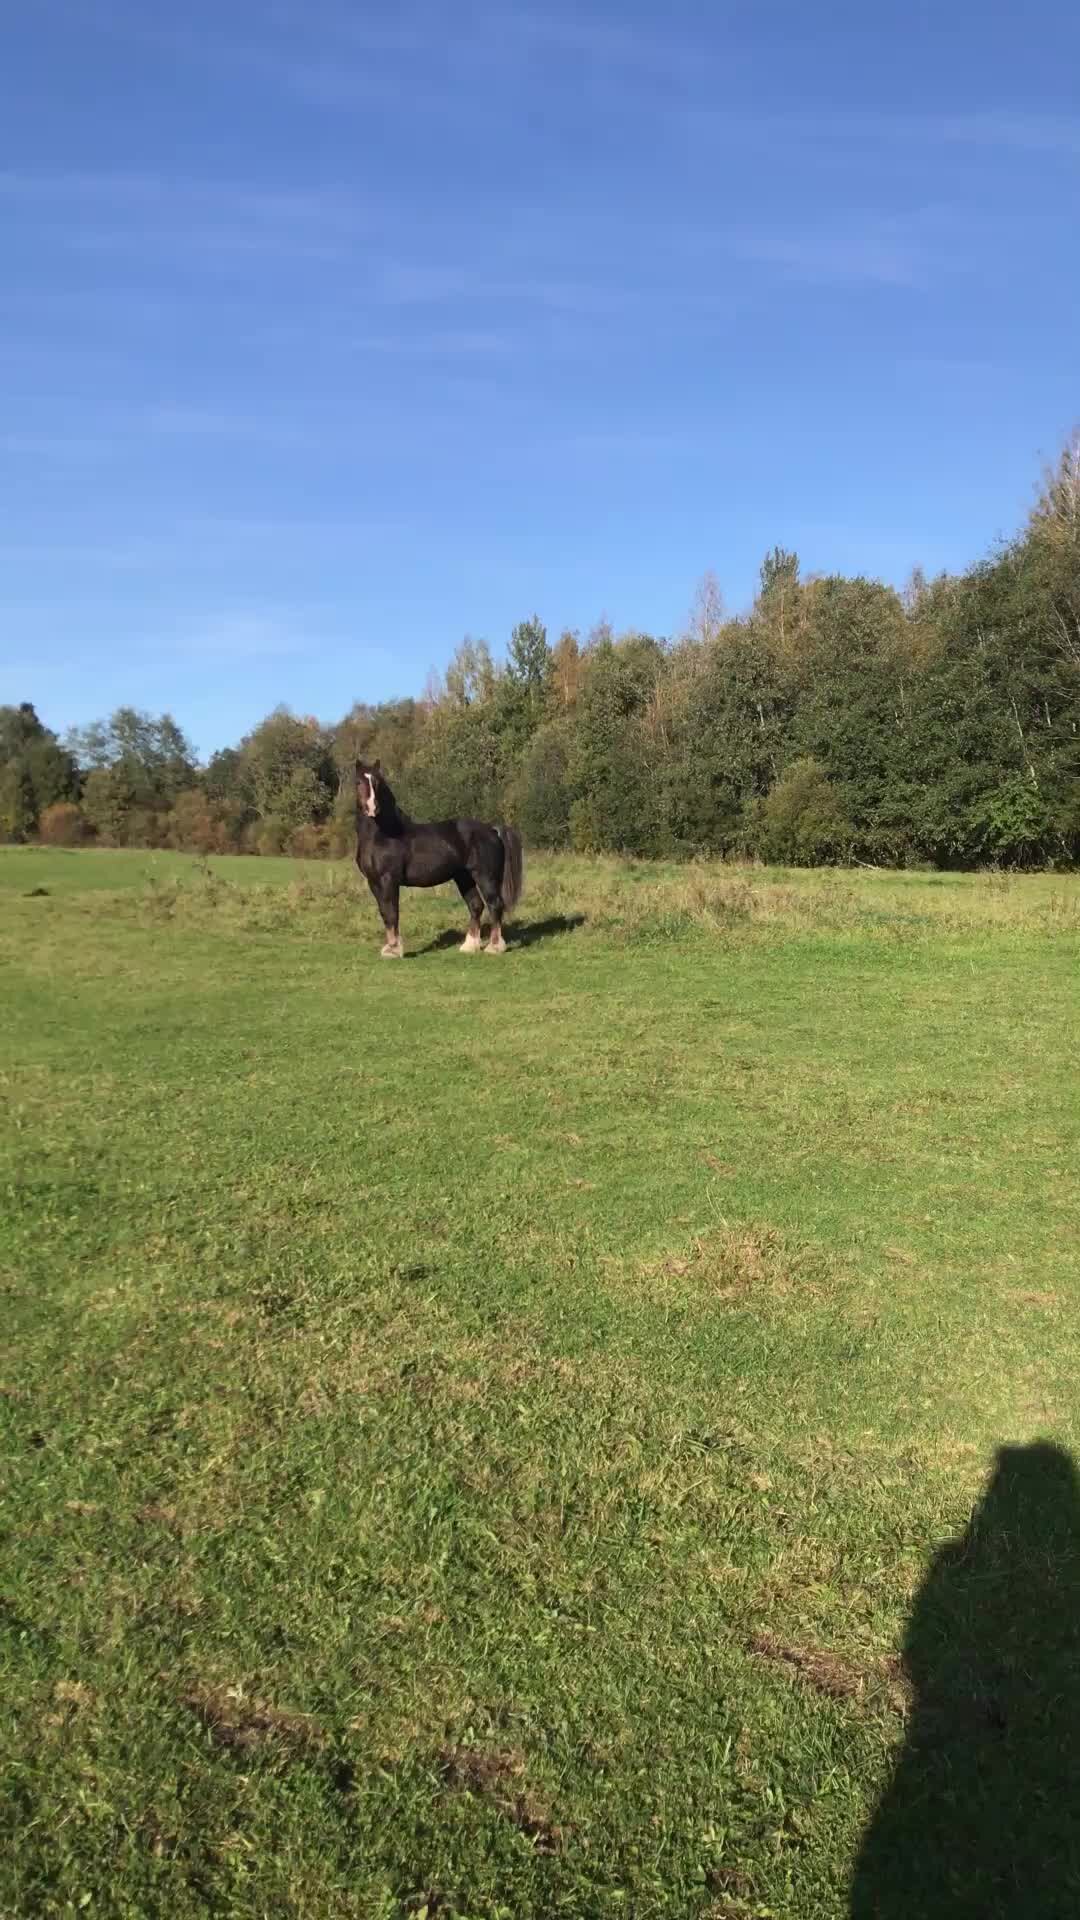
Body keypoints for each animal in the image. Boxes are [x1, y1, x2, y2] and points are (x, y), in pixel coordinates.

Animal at [353, 752, 522, 956]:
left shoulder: (388, 880)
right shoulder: (374, 882)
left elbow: (392, 912)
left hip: (485, 876)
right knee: (476, 905)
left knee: (494, 904)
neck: (383, 834)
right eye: (358, 782)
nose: (372, 808)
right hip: (463, 877)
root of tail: (491, 830)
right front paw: (390, 948)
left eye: (377, 783)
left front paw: (394, 950)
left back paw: (494, 947)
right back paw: (469, 946)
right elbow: (385, 913)